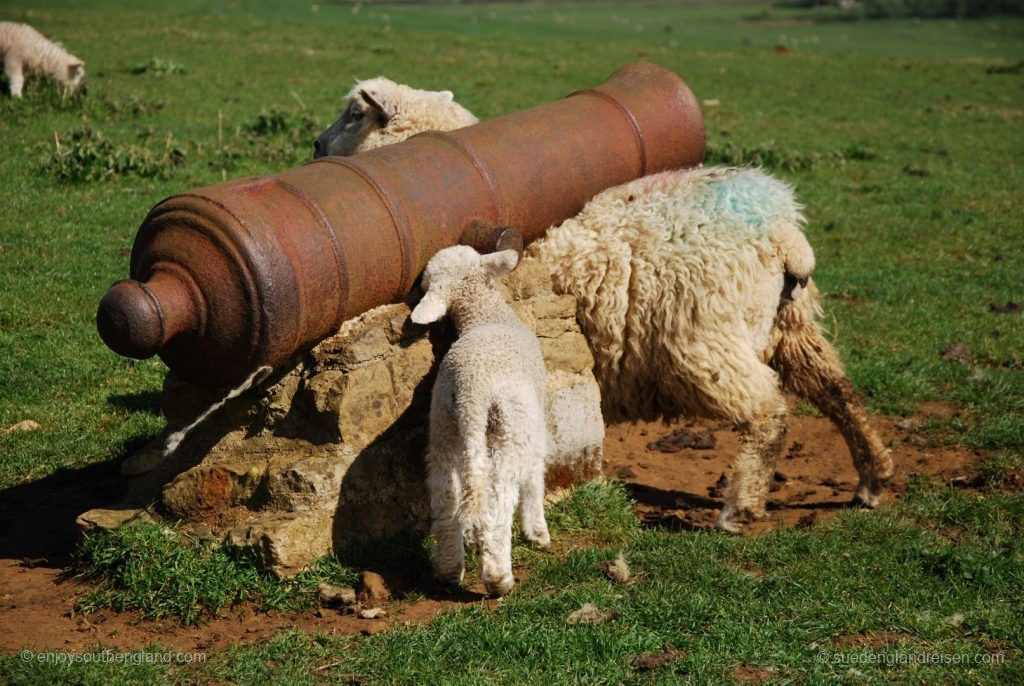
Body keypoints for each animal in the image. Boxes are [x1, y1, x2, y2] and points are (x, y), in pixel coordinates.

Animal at [409, 245, 552, 597]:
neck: (485, 315)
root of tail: (470, 393)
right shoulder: (536, 420)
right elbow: (535, 474)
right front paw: (538, 532)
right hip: (509, 426)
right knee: (499, 501)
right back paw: (499, 578)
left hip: (443, 425)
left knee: (445, 499)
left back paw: (449, 570)